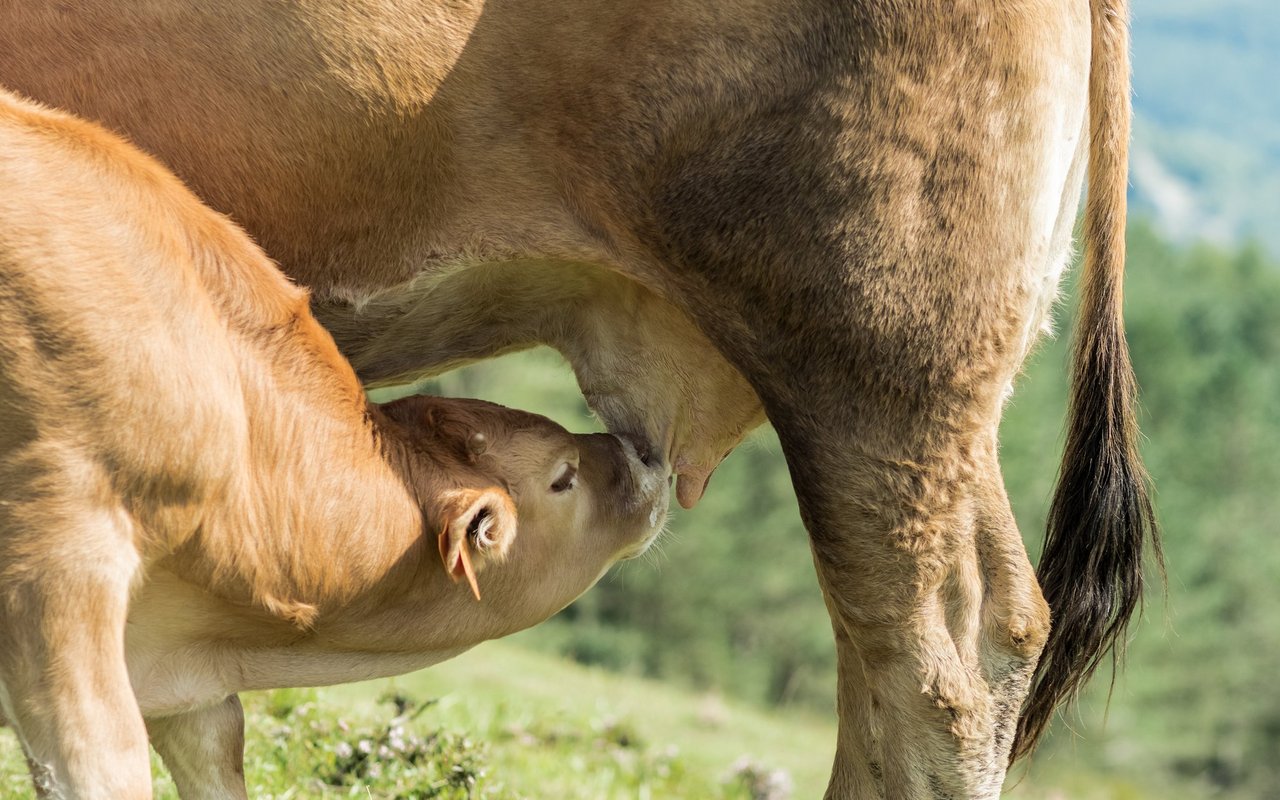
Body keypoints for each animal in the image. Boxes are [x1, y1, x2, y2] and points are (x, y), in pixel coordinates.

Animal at [0, 0, 1162, 793]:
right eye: (556, 469)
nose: (627, 467)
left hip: (877, 366)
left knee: (933, 673)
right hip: (936, 407)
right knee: (968, 638)